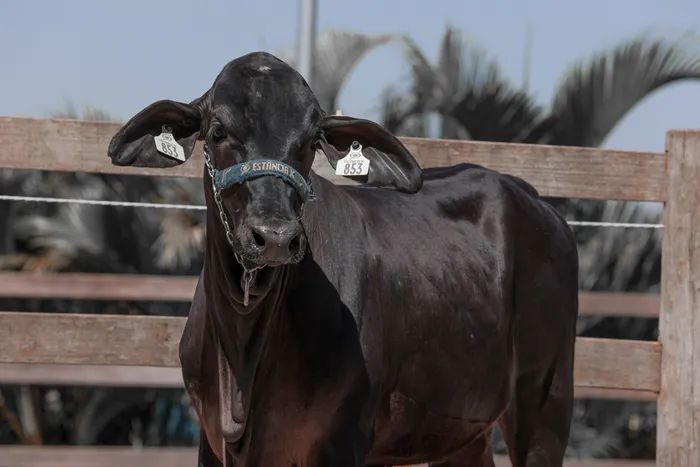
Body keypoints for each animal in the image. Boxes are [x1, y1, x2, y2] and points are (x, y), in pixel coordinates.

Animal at [107, 51, 579, 467]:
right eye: (219, 130)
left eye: (310, 142)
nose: (274, 236)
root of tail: (535, 200)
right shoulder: (209, 439)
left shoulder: (344, 438)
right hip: (461, 428)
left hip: (545, 403)